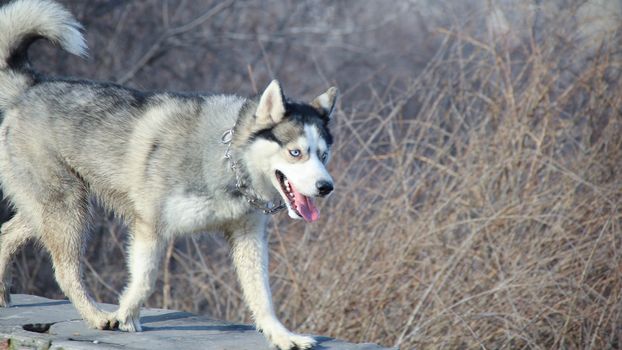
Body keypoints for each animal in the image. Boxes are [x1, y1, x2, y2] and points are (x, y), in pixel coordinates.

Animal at [0, 1, 338, 348]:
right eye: (295, 152)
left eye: (323, 154)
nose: (326, 187)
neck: (226, 159)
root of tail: (32, 87)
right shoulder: (150, 227)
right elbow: (145, 279)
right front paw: (126, 315)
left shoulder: (249, 237)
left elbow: (263, 295)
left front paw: (282, 335)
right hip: (68, 210)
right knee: (65, 272)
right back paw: (95, 316)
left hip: (48, 209)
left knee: (6, 234)